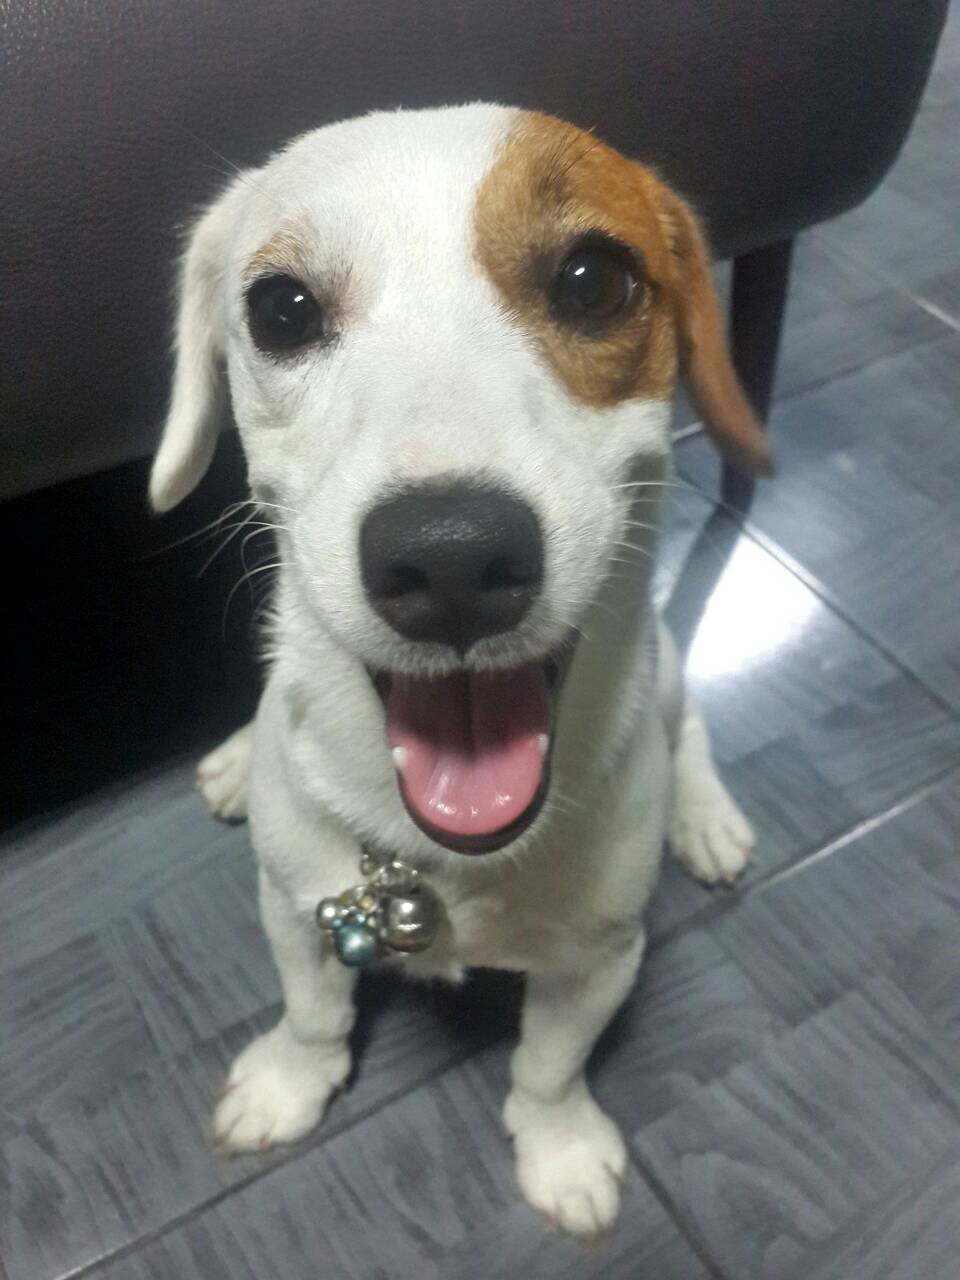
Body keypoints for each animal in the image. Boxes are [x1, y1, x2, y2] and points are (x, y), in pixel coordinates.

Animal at [149, 103, 768, 1237]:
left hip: (665, 683)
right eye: (281, 309)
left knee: (688, 718)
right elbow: (312, 1012)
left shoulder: (603, 956)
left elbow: (550, 1067)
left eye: (592, 280)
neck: (431, 859)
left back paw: (704, 814)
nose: (449, 559)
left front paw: (559, 1149)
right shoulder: (293, 905)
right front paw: (290, 1082)